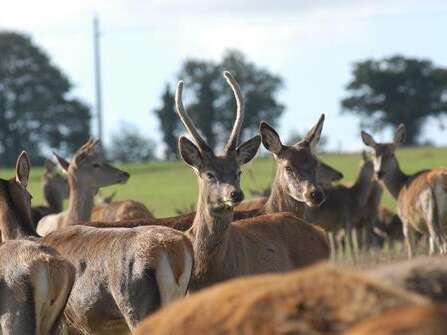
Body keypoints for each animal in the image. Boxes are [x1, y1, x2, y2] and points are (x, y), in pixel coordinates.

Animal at [362, 124, 447, 258]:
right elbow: (431, 250)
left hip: (431, 215)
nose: (379, 173)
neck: (399, 189)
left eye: (392, 154)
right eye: (373, 154)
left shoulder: (406, 221)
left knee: (441, 244)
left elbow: (411, 252)